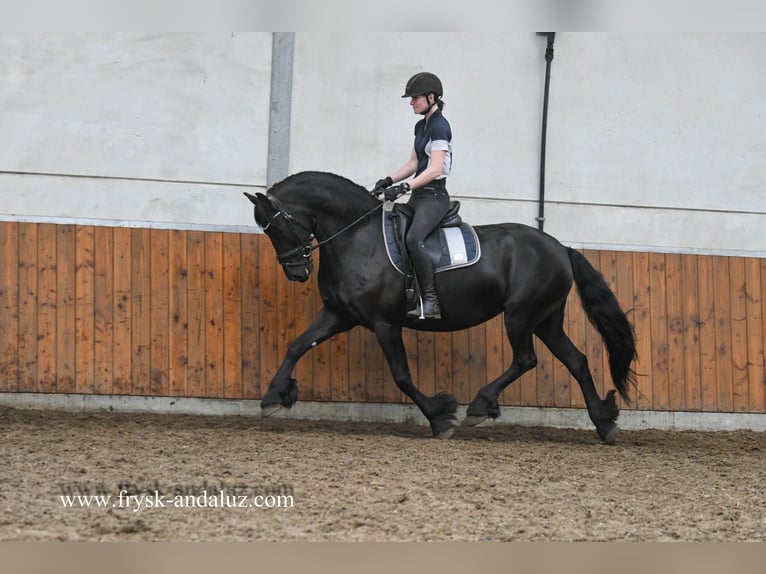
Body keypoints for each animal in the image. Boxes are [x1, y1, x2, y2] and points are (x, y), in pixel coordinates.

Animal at [244, 171, 637, 444]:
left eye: (277, 227)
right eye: (267, 231)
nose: (297, 272)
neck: (357, 238)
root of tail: (560, 247)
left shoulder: (384, 323)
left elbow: (402, 375)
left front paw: (439, 417)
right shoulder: (339, 315)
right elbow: (297, 345)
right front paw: (273, 397)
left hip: (521, 315)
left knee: (526, 359)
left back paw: (479, 406)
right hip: (546, 319)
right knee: (577, 361)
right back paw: (604, 423)